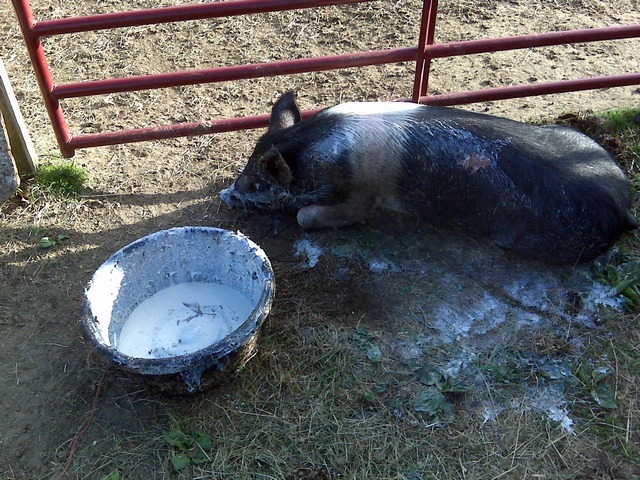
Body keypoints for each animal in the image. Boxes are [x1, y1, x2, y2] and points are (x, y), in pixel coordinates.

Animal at [220, 91, 638, 264]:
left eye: (258, 182)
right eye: (247, 167)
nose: (228, 193)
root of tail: (622, 207)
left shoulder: (362, 194)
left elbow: (308, 216)